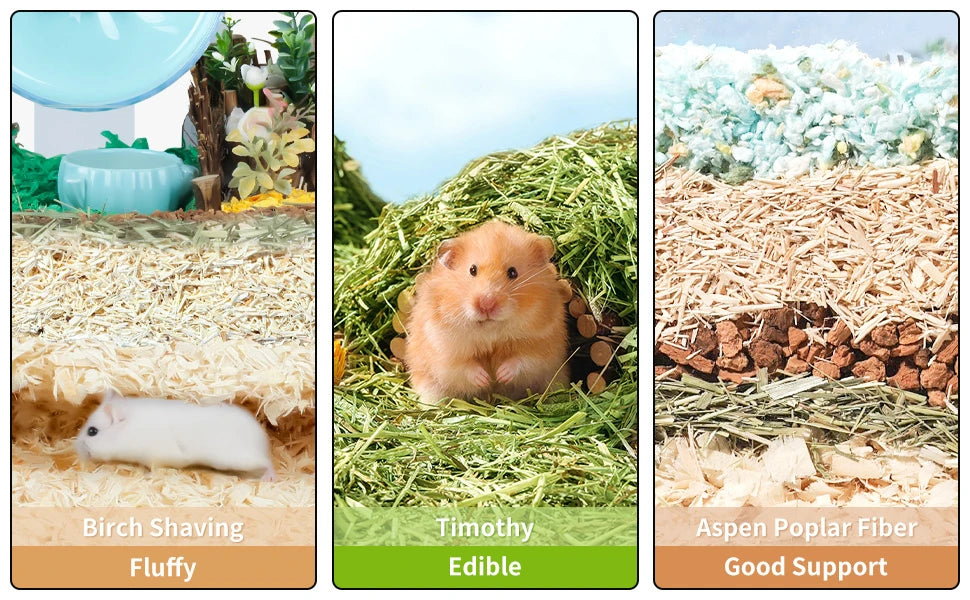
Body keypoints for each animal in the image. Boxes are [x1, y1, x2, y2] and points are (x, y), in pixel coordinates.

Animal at [75, 389, 276, 481]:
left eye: (92, 431)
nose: (76, 448)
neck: (128, 431)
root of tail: (264, 441)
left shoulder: (156, 456)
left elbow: (153, 468)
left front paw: (146, 476)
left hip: (235, 458)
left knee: (267, 463)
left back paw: (269, 478)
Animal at [404, 219, 572, 405]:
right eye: (472, 270)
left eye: (513, 272)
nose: (486, 304)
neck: (490, 330)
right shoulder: (443, 347)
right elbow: (462, 367)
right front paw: (485, 379)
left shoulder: (543, 343)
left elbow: (523, 360)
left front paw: (499, 375)